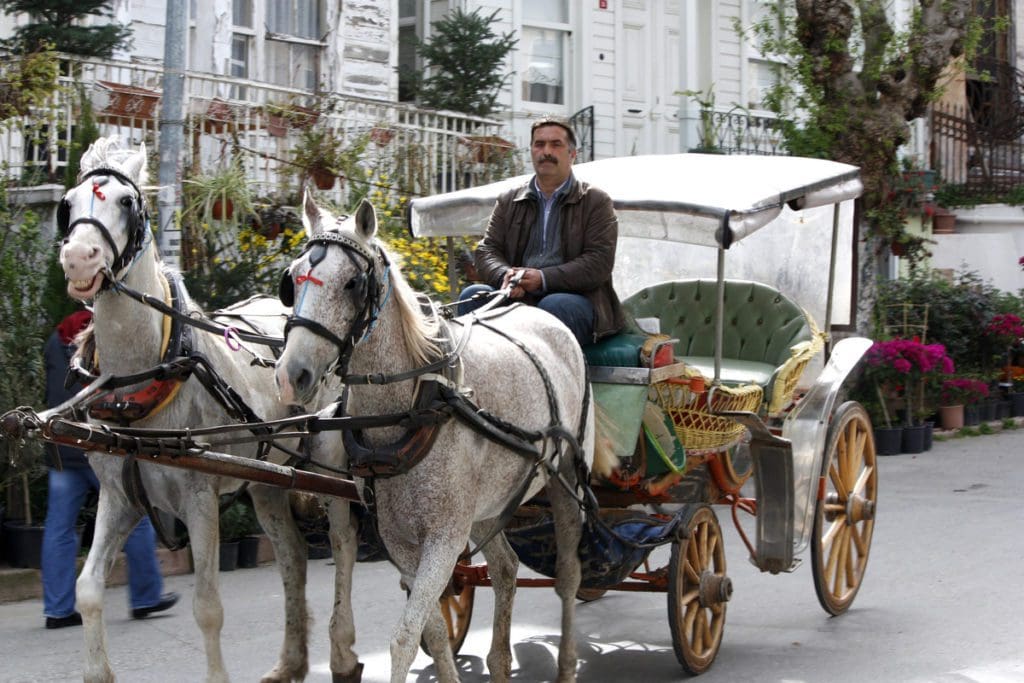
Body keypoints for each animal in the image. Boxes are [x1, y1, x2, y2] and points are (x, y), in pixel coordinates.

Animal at [58, 137, 360, 683]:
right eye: (68, 203)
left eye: (127, 202)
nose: (79, 259)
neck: (146, 376)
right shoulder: (119, 496)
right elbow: (87, 591)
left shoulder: (199, 496)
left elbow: (207, 607)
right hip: (269, 477)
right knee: (293, 555)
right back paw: (291, 661)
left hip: (331, 463)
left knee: (343, 541)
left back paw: (343, 652)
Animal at [276, 193, 598, 683]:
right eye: (292, 281)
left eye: (352, 284)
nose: (292, 375)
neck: (411, 404)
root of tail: (544, 316)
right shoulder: (402, 540)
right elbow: (433, 631)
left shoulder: (445, 537)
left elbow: (404, 638)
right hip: (491, 503)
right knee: (505, 569)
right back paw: (500, 662)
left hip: (566, 482)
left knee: (568, 575)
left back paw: (566, 665)